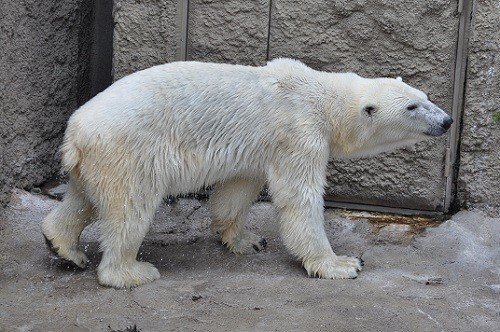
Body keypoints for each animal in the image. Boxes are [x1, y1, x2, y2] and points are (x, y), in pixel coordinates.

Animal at [41, 58, 452, 286]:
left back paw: (64, 247)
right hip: (131, 152)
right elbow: (299, 199)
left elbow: (238, 188)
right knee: (129, 210)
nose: (447, 121)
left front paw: (246, 240)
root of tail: (76, 132)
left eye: (427, 97)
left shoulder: (262, 145)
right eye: (413, 107)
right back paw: (132, 272)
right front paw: (342, 264)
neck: (321, 93)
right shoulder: (300, 132)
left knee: (83, 199)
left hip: (97, 160)